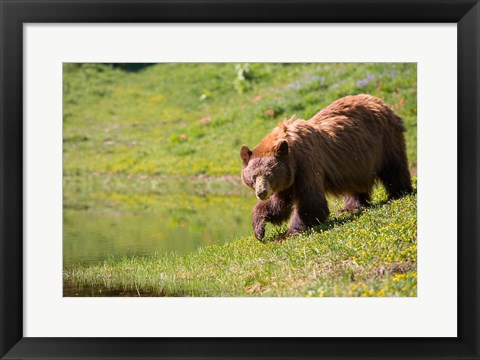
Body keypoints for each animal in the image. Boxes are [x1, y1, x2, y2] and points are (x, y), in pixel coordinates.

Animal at [240, 94, 412, 243]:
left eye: (269, 174)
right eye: (254, 176)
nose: (261, 192)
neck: (293, 154)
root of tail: (379, 101)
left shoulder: (307, 164)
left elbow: (310, 202)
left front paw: (287, 234)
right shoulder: (289, 178)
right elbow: (279, 203)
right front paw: (259, 228)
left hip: (385, 141)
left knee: (394, 168)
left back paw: (398, 193)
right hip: (356, 159)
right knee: (356, 183)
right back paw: (351, 206)